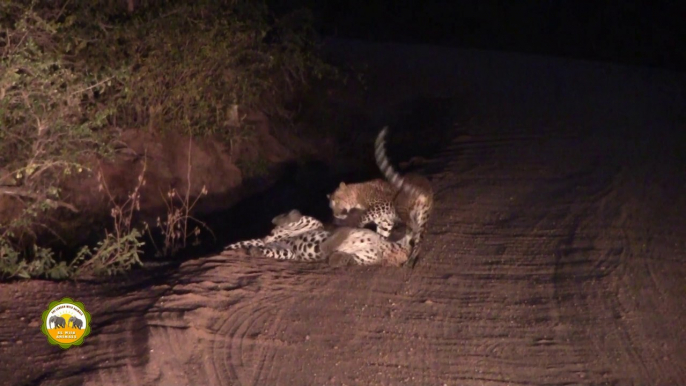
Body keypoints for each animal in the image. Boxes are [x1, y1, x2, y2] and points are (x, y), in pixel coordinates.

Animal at [326, 126, 432, 266]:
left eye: (337, 201)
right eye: (331, 207)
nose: (336, 214)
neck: (357, 194)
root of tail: (423, 185)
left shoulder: (383, 204)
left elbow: (365, 214)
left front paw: (356, 224)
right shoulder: (385, 221)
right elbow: (381, 234)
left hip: (402, 206)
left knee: (412, 226)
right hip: (423, 215)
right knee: (419, 236)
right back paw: (411, 259)